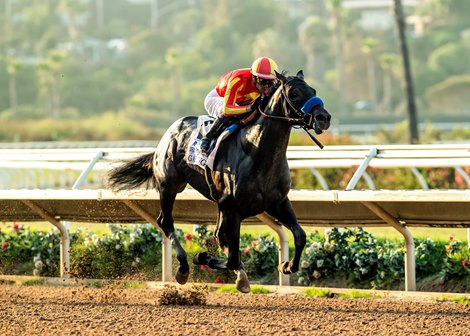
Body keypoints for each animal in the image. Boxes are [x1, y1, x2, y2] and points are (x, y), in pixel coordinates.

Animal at [108, 70, 332, 292]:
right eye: (294, 93)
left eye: (313, 90)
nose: (323, 118)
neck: (257, 152)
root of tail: (168, 134)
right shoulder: (233, 209)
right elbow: (232, 257)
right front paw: (202, 257)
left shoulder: (277, 202)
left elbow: (300, 236)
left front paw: (286, 265)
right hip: (169, 186)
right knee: (166, 222)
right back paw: (184, 268)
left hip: (216, 203)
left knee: (217, 234)